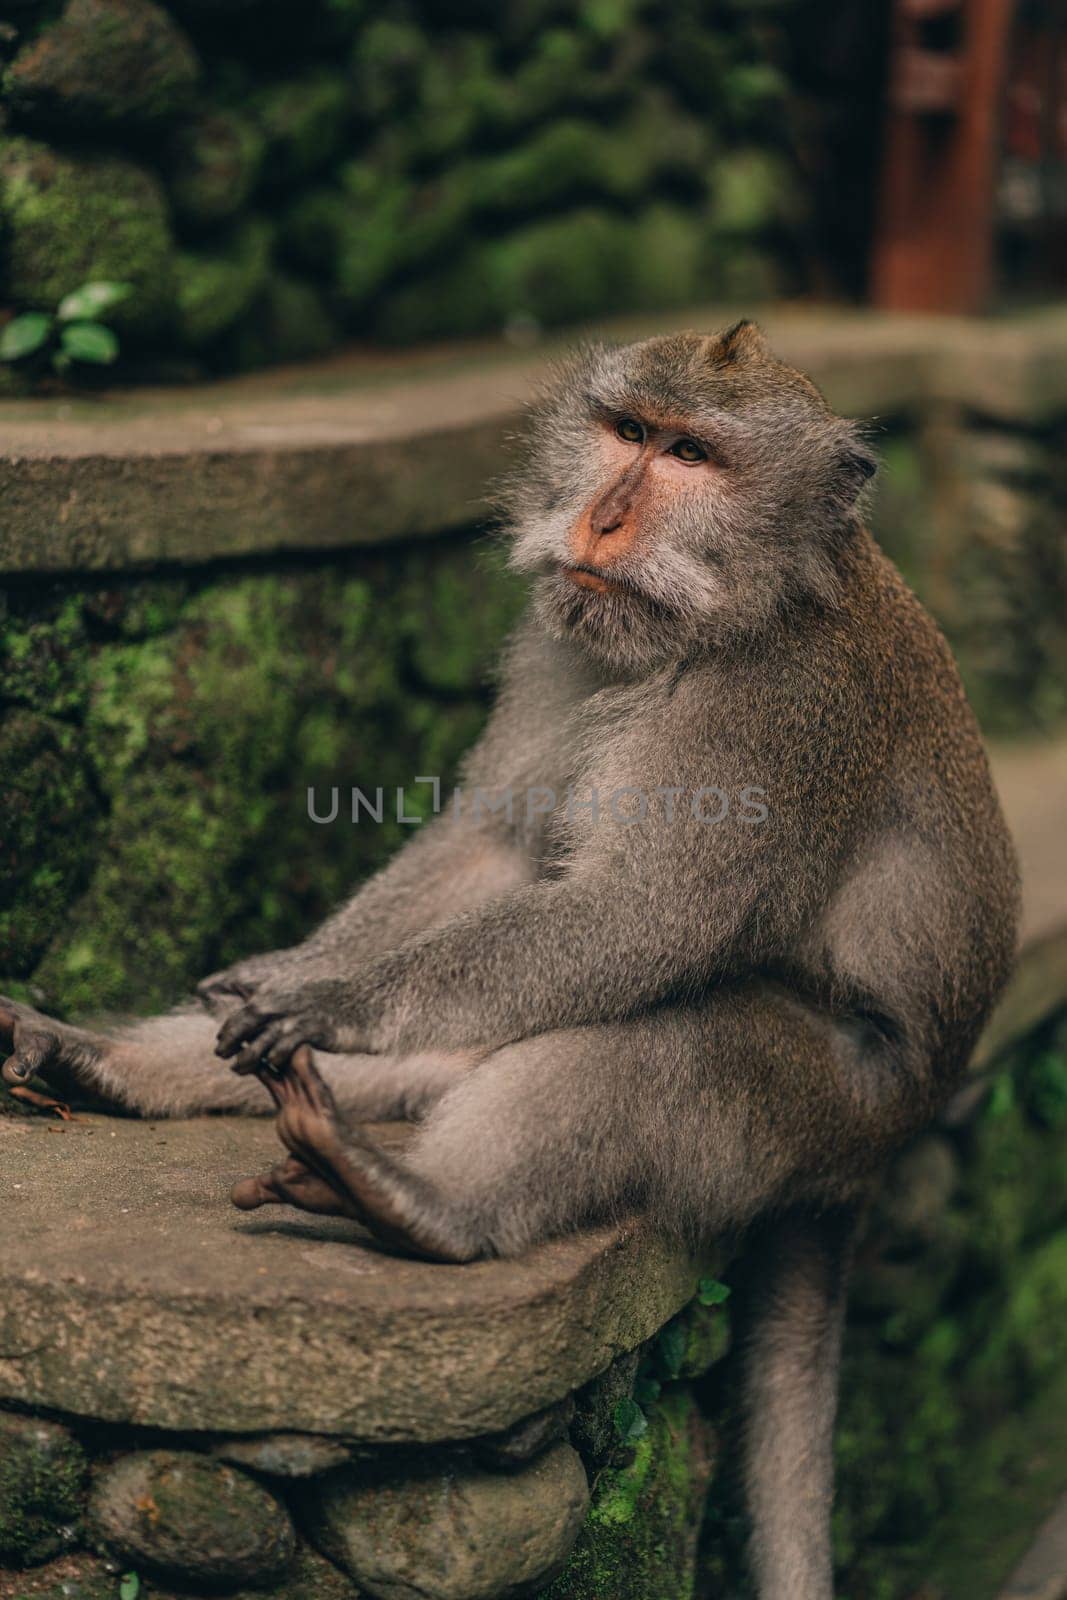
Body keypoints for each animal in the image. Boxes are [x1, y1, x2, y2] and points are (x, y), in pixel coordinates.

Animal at [0, 321, 1017, 1600]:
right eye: (626, 431)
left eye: (692, 455)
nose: (605, 519)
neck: (721, 620)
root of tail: (878, 1153)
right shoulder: (560, 641)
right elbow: (491, 845)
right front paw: (291, 967)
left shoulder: (778, 714)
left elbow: (642, 914)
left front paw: (336, 993)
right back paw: (112, 1068)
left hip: (840, 1102)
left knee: (671, 1050)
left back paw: (424, 1205)